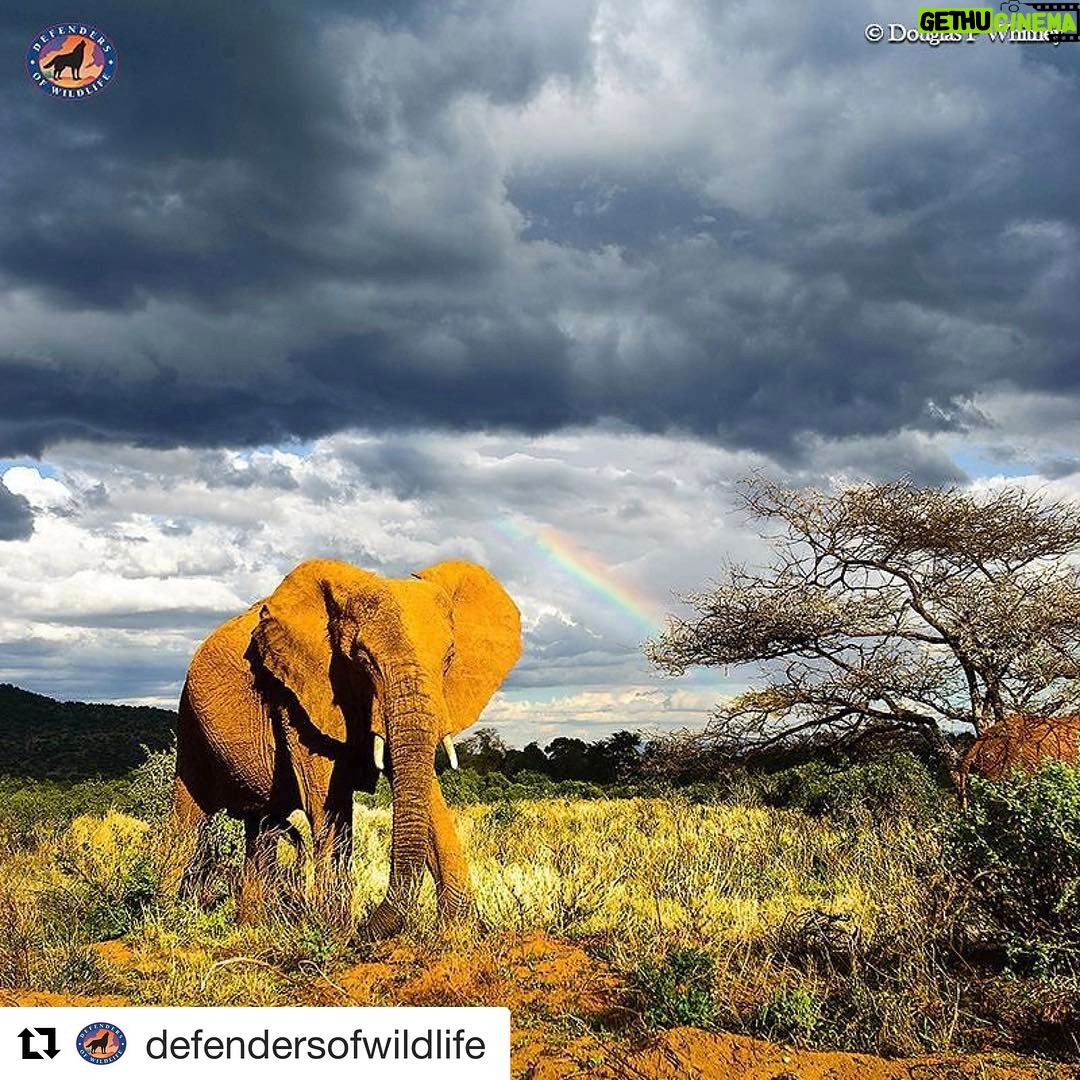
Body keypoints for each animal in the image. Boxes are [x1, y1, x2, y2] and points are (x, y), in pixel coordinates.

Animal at [166, 558, 521, 938]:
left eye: (449, 658)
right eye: (362, 660)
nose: (367, 926)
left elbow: (426, 795)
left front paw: (459, 931)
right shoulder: (296, 692)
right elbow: (327, 801)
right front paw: (337, 933)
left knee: (260, 826)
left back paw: (252, 927)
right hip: (189, 721)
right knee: (187, 823)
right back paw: (167, 913)